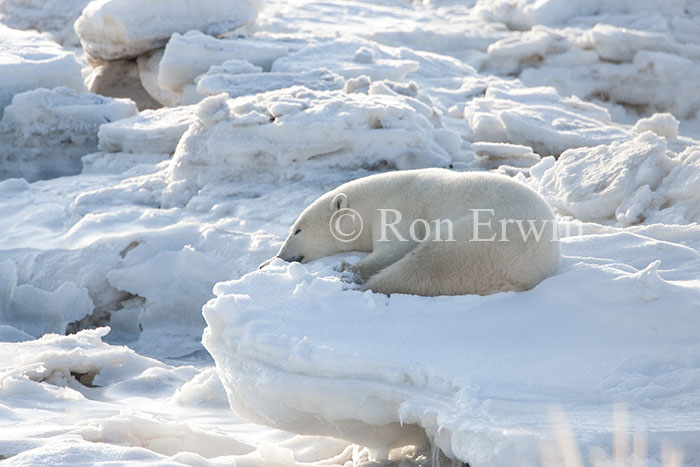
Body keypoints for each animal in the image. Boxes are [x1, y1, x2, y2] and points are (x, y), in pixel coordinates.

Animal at [262, 168, 560, 296]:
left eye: (297, 230)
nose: (279, 257)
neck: (372, 200)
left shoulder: (400, 207)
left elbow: (396, 246)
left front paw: (348, 267)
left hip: (481, 239)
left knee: (427, 265)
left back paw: (356, 284)